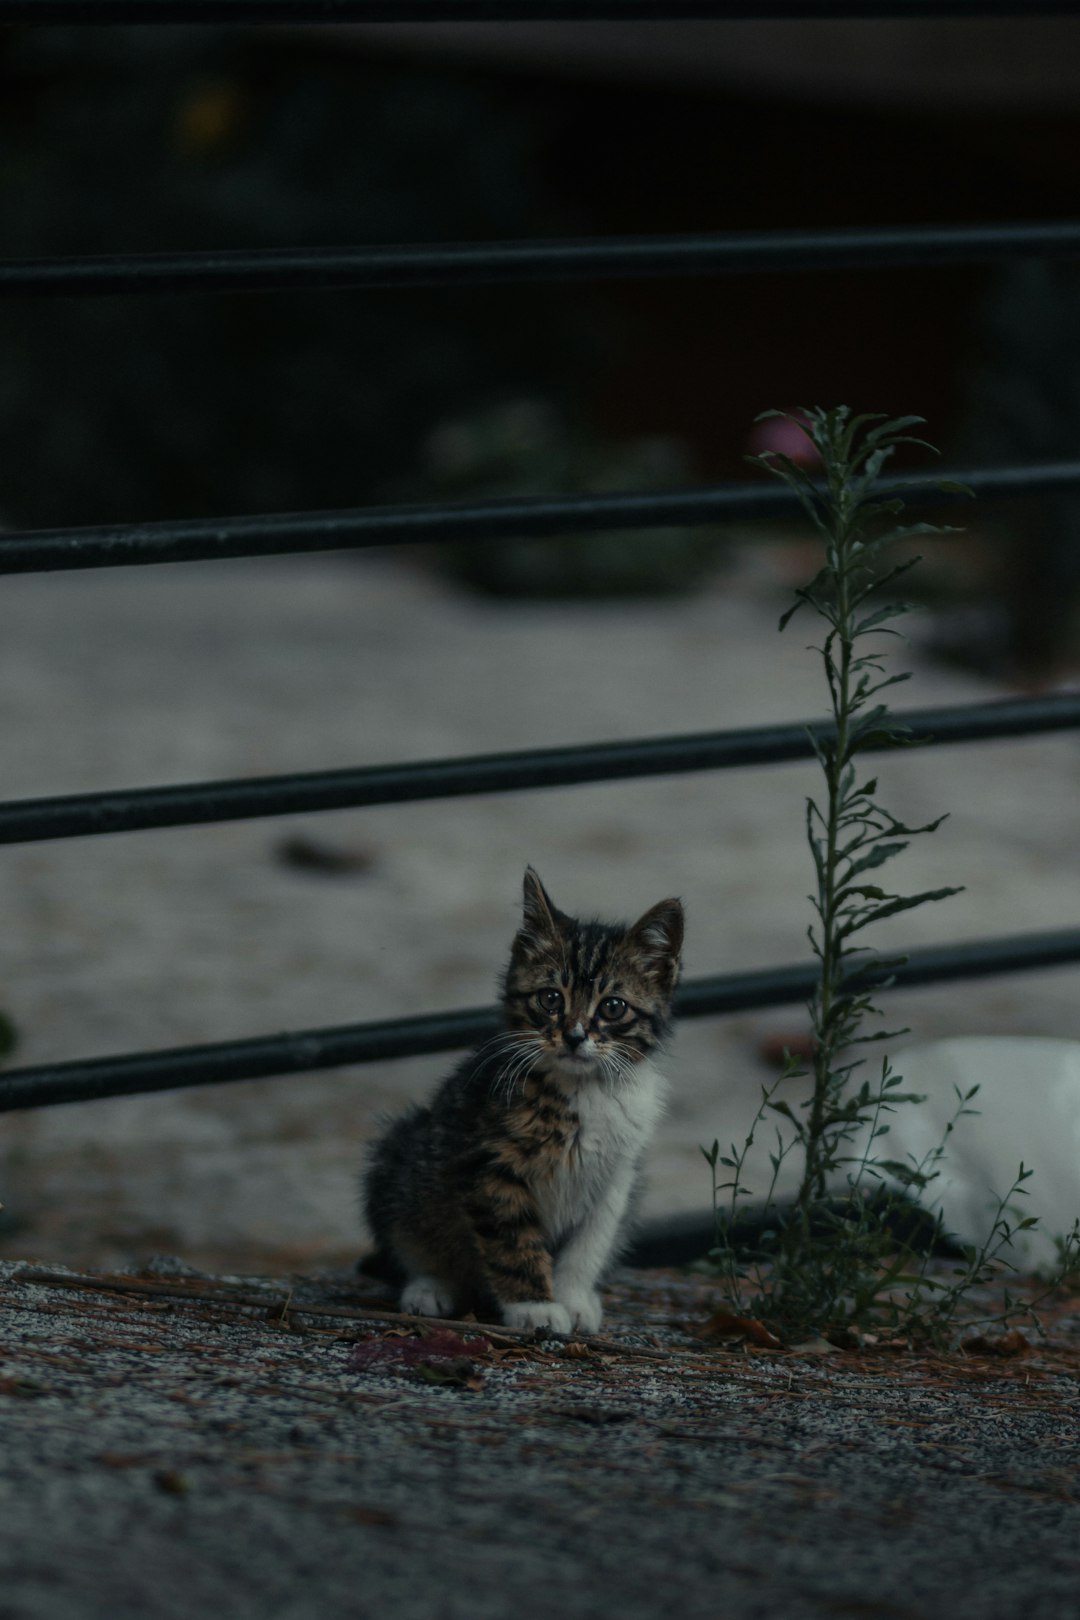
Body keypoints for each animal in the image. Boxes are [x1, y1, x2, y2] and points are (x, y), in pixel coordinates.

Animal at [362, 868, 683, 1334]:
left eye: (613, 1007)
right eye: (550, 999)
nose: (574, 1036)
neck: (584, 1088)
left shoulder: (618, 1175)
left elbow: (590, 1243)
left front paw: (573, 1298)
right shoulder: (488, 1165)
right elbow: (512, 1242)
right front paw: (534, 1307)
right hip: (402, 1156)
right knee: (410, 1239)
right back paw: (430, 1288)